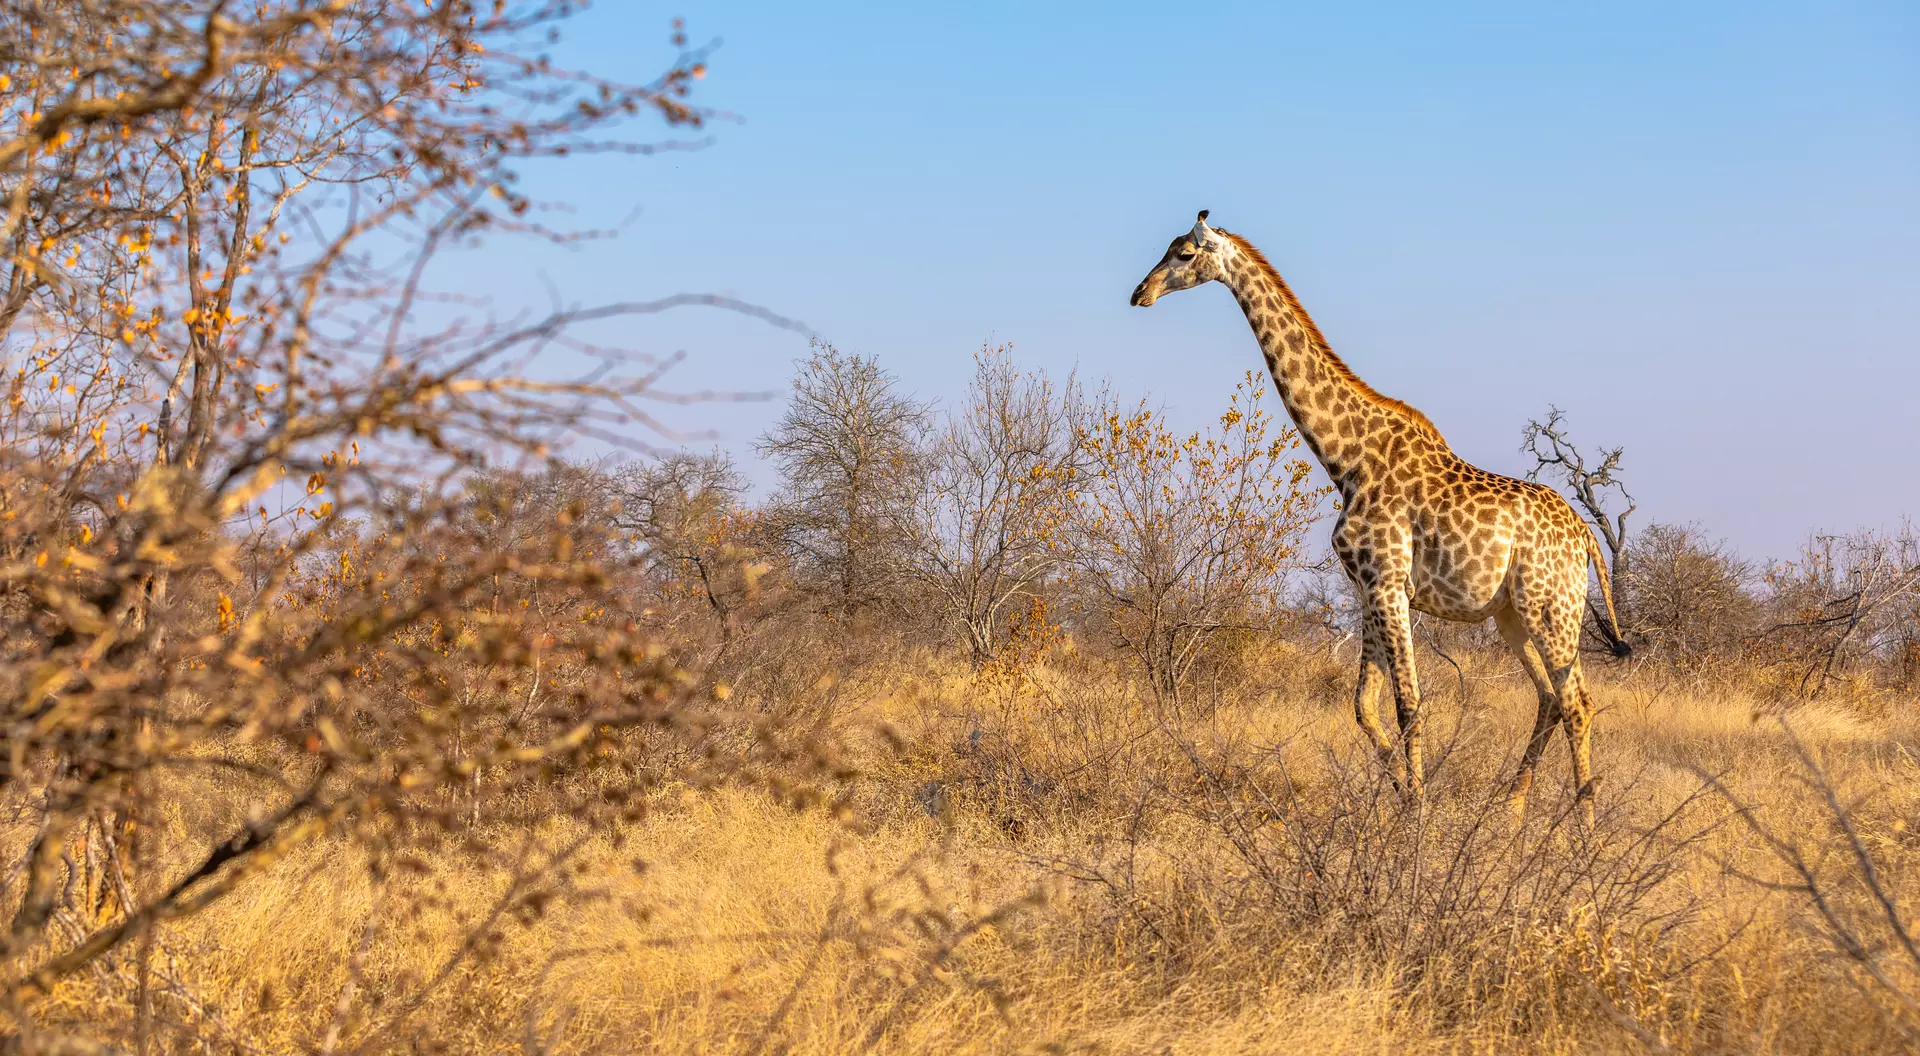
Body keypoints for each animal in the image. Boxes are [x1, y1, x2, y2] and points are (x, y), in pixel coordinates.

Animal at [1130, 211, 1630, 820]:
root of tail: (1586, 536)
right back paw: (1512, 811)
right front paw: (1402, 793)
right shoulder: (1369, 585)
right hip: (1513, 614)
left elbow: (1408, 704)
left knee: (1577, 700)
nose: (1140, 293)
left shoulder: (1389, 582)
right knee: (1551, 697)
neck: (1345, 459)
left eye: (1182, 254)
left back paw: (1581, 826)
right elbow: (1364, 706)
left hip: (1550, 605)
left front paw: (1417, 812)